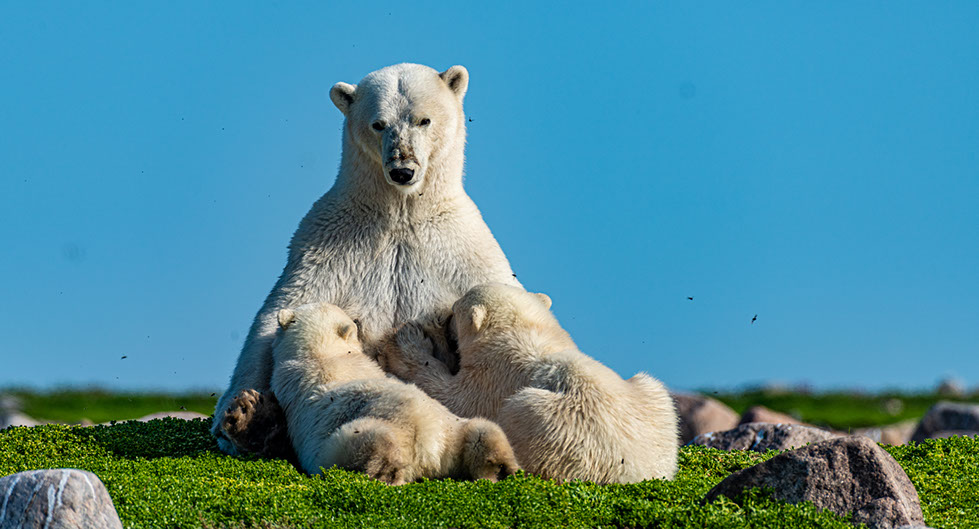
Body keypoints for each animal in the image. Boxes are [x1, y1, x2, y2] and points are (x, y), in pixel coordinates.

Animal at [212, 63, 524, 454]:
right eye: (378, 123)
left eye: (424, 120)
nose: (402, 170)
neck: (400, 214)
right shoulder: (327, 246)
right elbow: (278, 314)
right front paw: (242, 414)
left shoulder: (462, 251)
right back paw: (253, 418)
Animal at [378, 284, 676, 482]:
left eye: (454, 310)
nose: (445, 318)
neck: (523, 330)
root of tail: (636, 474)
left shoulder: (494, 376)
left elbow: (454, 398)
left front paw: (407, 341)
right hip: (654, 398)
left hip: (555, 426)